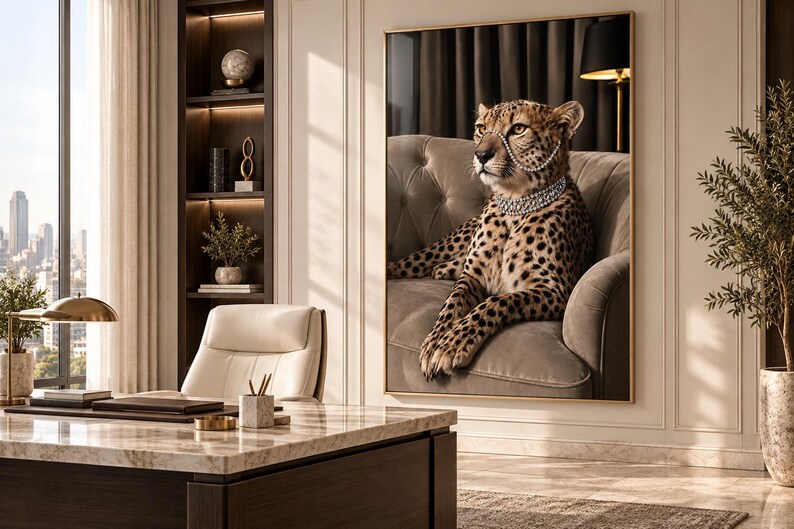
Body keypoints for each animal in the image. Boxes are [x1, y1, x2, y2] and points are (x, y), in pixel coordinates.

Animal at [387, 99, 594, 380]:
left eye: (518, 128)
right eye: (481, 128)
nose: (481, 155)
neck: (515, 203)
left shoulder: (556, 292)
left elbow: (497, 301)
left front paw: (452, 344)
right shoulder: (472, 277)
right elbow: (452, 302)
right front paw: (435, 339)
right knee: (408, 263)